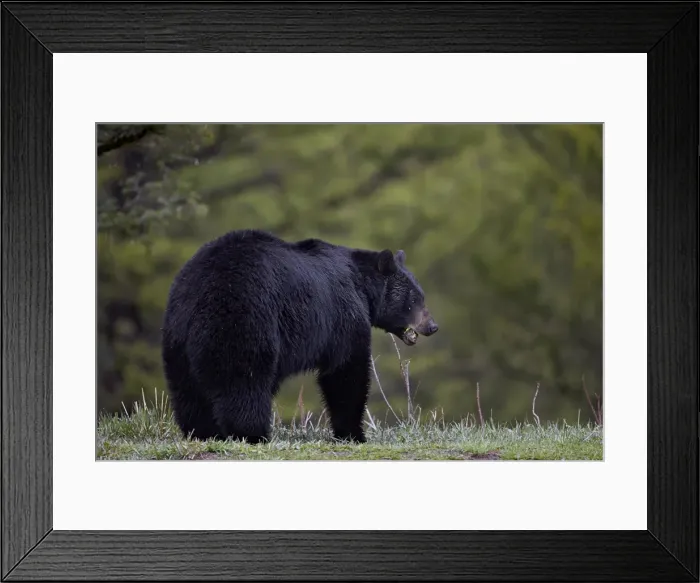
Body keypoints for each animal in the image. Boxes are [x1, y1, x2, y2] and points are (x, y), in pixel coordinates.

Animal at [161, 228, 438, 444]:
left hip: (177, 334)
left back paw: (203, 432)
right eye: (414, 299)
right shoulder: (344, 316)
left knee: (187, 388)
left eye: (421, 295)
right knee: (244, 380)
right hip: (243, 319)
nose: (432, 326)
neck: (363, 288)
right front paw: (352, 433)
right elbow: (346, 370)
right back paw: (252, 433)